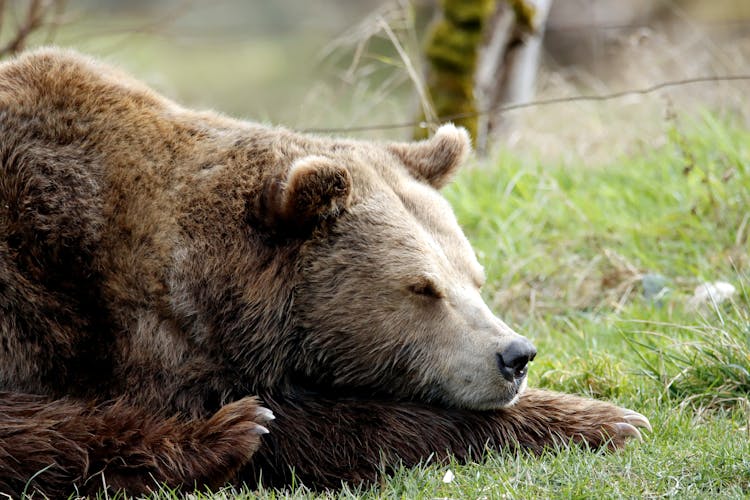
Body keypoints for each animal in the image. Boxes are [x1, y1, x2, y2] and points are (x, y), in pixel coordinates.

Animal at [0, 48, 652, 498]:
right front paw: (609, 419)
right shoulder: (103, 320)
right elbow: (328, 423)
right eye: (422, 287)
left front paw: (609, 415)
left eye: (474, 276)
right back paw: (227, 434)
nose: (514, 355)